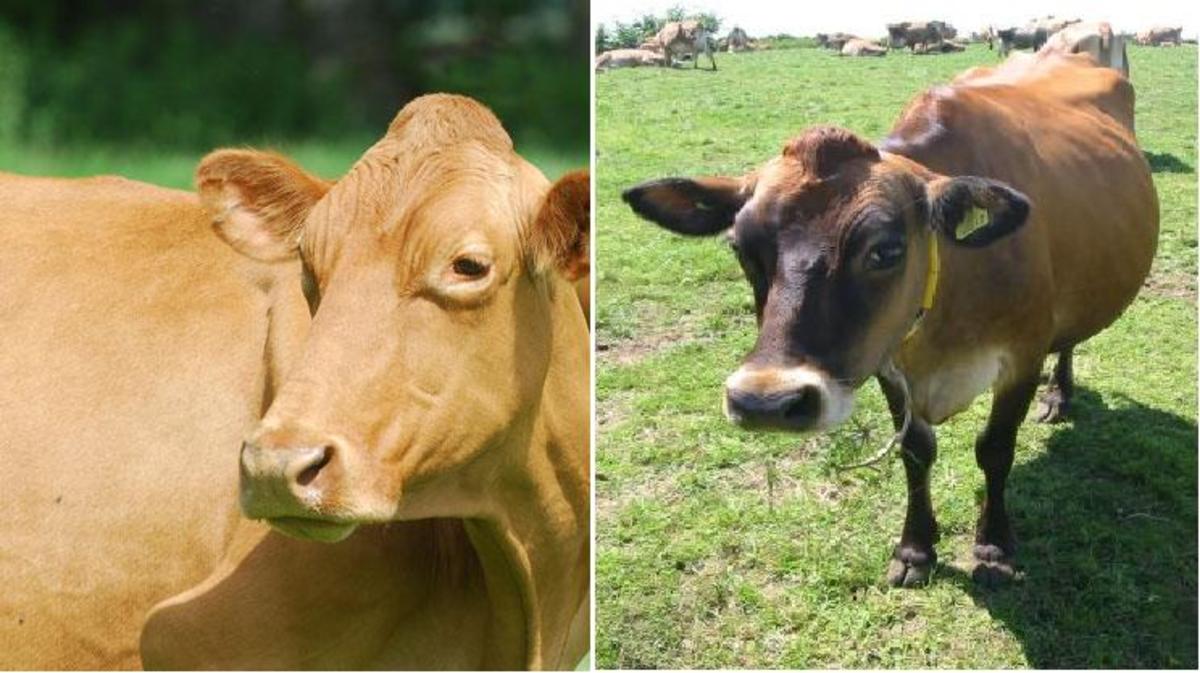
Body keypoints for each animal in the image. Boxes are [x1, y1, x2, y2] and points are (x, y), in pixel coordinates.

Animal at [621, 53, 1157, 588]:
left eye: (885, 251)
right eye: (740, 247)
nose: (765, 402)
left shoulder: (1021, 357)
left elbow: (995, 448)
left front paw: (994, 544)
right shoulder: (886, 362)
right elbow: (915, 450)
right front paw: (916, 547)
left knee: (1069, 341)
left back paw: (1059, 395)